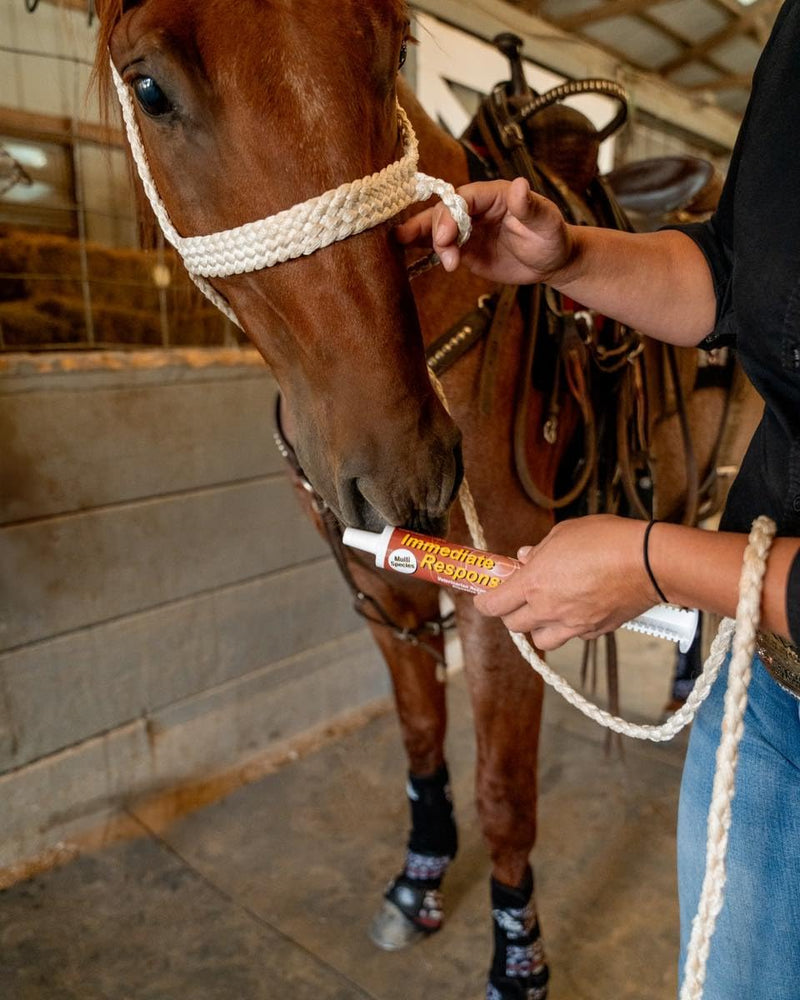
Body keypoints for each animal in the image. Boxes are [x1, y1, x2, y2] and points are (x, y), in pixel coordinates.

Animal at [94, 4, 746, 997]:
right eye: (149, 87)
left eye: (395, 47)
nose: (409, 467)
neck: (457, 315)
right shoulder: (383, 589)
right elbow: (419, 737)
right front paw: (420, 877)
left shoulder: (502, 608)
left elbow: (504, 794)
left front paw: (518, 957)